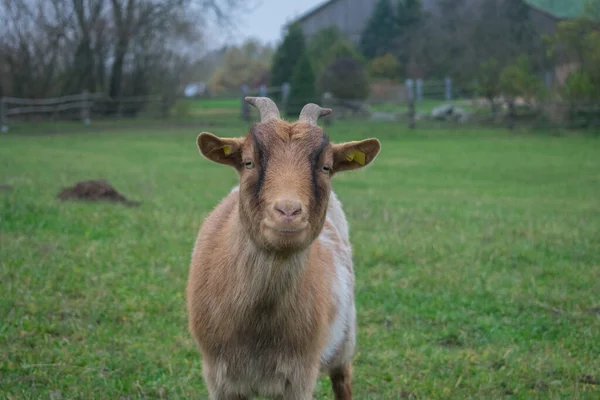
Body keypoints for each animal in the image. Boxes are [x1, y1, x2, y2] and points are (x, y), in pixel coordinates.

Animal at [186, 97, 380, 400]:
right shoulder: (220, 378)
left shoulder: (298, 377)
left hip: (346, 336)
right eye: (248, 161)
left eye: (326, 167)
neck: (259, 322)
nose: (288, 211)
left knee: (343, 377)